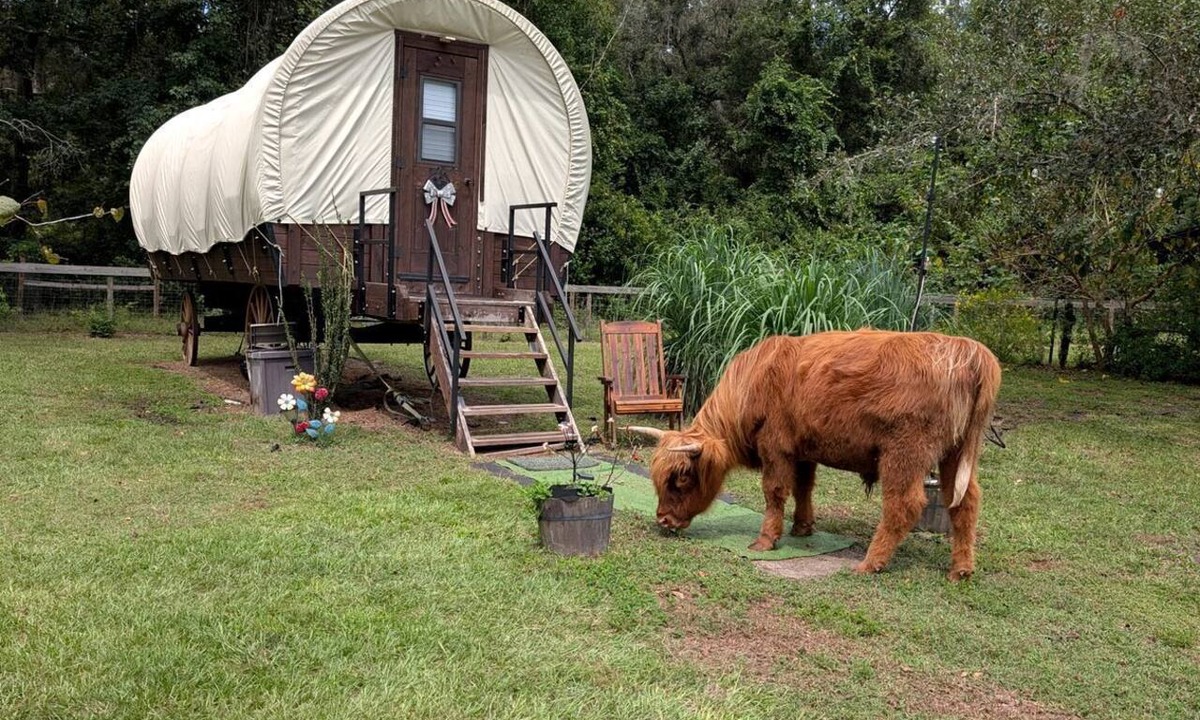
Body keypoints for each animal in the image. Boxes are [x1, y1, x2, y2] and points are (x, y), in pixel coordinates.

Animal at [630, 329, 1002, 581]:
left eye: (681, 478)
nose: (663, 520)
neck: (753, 383)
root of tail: (966, 349)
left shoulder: (776, 447)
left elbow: (775, 492)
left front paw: (766, 540)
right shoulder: (803, 450)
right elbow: (804, 488)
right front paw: (802, 527)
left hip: (904, 453)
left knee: (904, 505)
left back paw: (870, 563)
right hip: (955, 454)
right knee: (965, 502)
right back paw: (961, 570)